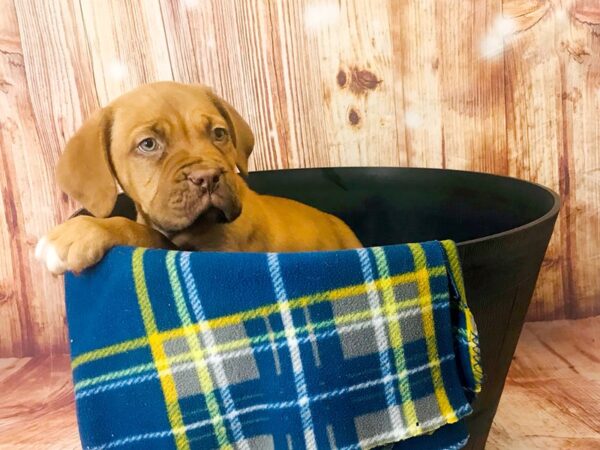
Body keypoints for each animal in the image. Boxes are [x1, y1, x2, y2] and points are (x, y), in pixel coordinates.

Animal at [36, 81, 360, 274]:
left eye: (219, 133)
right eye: (148, 144)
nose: (208, 177)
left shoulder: (220, 251)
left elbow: (148, 235)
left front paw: (85, 230)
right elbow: (150, 232)